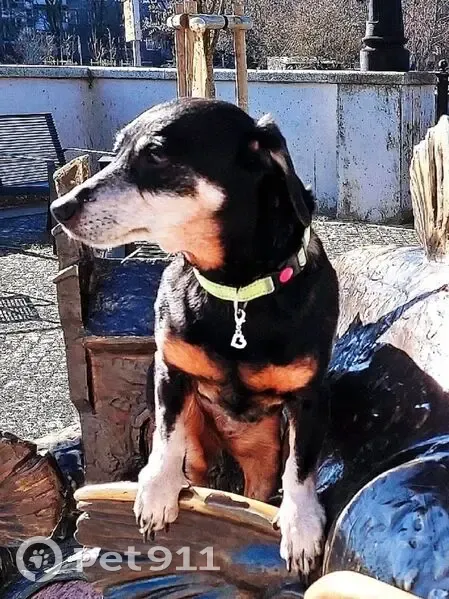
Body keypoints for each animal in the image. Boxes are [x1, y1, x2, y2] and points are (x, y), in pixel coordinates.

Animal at [51, 98, 339, 575]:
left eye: (155, 155)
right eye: (118, 148)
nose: (59, 207)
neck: (236, 292)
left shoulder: (309, 398)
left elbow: (300, 466)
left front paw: (301, 525)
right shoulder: (170, 372)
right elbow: (166, 439)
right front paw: (155, 491)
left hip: (262, 453)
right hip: (200, 443)